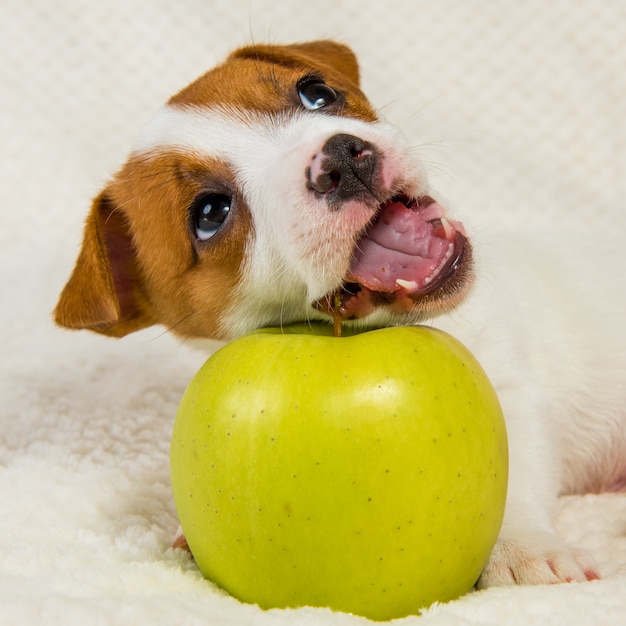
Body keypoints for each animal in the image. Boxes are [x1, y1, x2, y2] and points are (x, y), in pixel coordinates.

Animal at [56, 41, 620, 588]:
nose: (343, 160)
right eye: (210, 214)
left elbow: (515, 473)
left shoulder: (510, 392)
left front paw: (524, 548)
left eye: (316, 93)